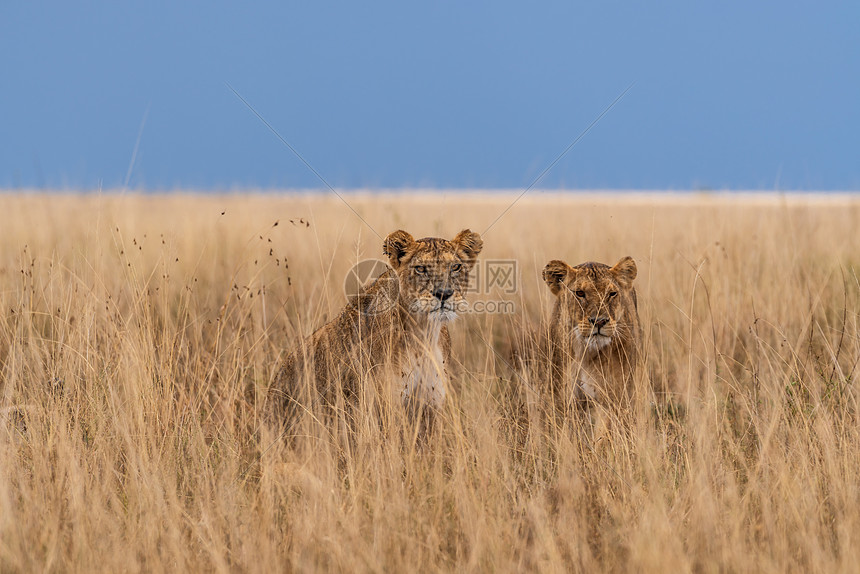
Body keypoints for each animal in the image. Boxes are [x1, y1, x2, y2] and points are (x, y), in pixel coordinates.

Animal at [268, 228, 484, 440]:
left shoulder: (431, 404)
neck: (423, 332)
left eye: (455, 267)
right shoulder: (385, 404)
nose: (443, 293)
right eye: (421, 268)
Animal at [540, 258, 640, 414]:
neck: (586, 352)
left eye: (612, 293)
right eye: (580, 293)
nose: (599, 321)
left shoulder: (615, 394)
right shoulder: (560, 392)